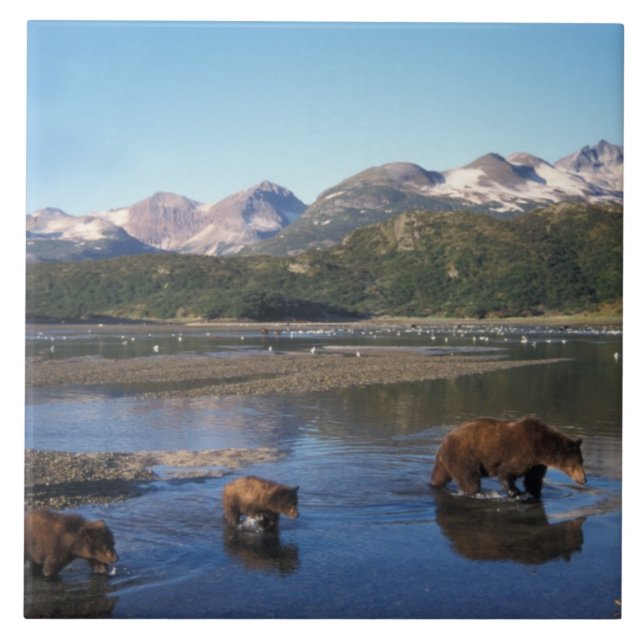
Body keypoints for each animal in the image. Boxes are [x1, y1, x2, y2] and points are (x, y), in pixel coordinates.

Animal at [430, 416, 586, 498]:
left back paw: (434, 484)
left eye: (582, 461)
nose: (584, 479)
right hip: (464, 457)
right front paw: (516, 492)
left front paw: (534, 493)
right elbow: (506, 473)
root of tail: (443, 443)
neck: (541, 448)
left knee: (440, 476)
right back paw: (476, 492)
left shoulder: (537, 464)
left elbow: (533, 480)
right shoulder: (522, 453)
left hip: (447, 462)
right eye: (576, 463)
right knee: (470, 481)